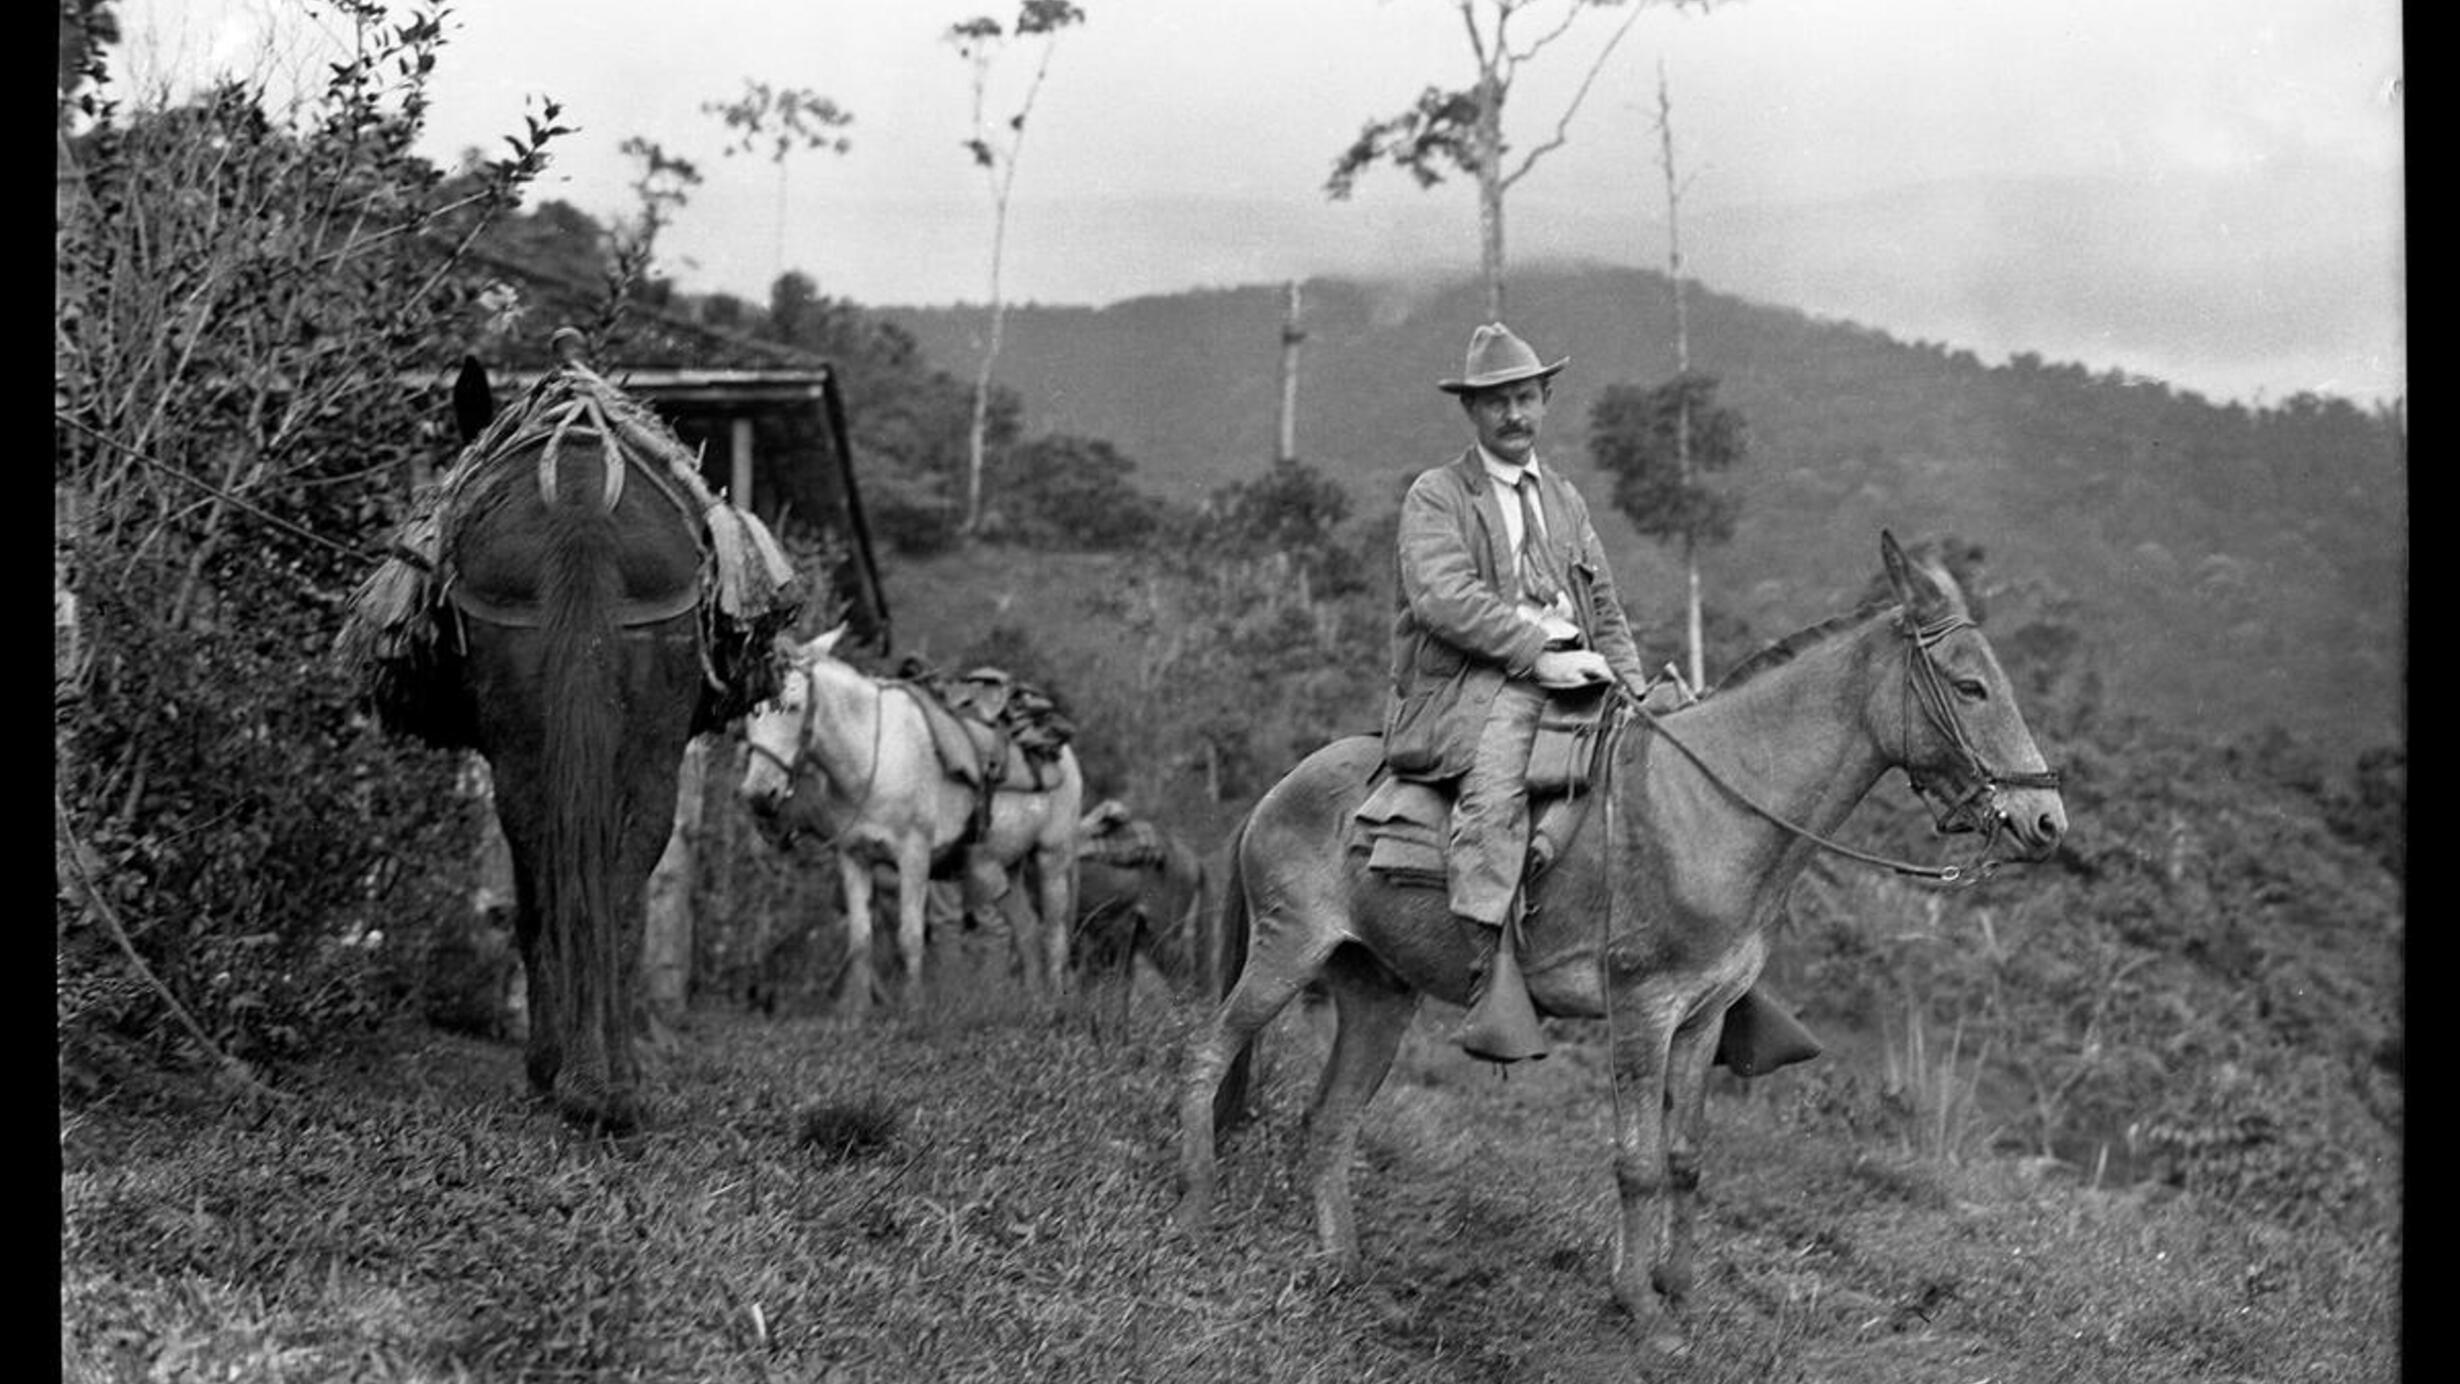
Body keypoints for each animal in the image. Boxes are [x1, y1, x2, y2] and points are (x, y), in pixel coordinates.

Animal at [728, 634, 1077, 1012]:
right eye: (749, 712)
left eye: (792, 706)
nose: (758, 794)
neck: (872, 756)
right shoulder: (855, 858)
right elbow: (861, 941)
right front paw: (858, 1013)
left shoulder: (913, 857)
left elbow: (909, 938)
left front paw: (912, 1010)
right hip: (1005, 865)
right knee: (1027, 930)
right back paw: (1036, 1003)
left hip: (1052, 858)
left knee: (1053, 933)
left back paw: (1055, 1004)